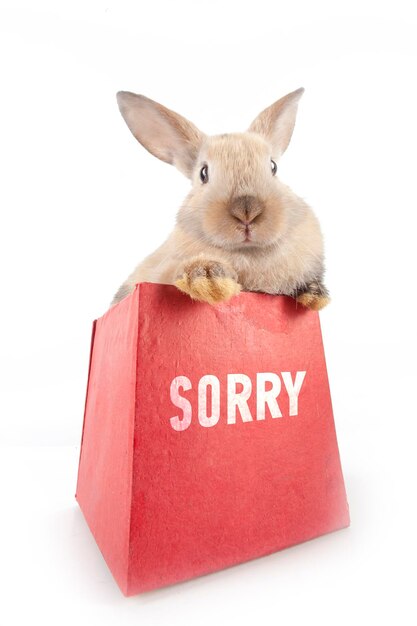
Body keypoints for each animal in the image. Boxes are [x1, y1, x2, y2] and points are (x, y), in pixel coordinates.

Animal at [112, 88, 330, 310]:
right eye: (203, 173)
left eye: (273, 166)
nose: (247, 211)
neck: (247, 253)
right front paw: (210, 280)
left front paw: (314, 295)